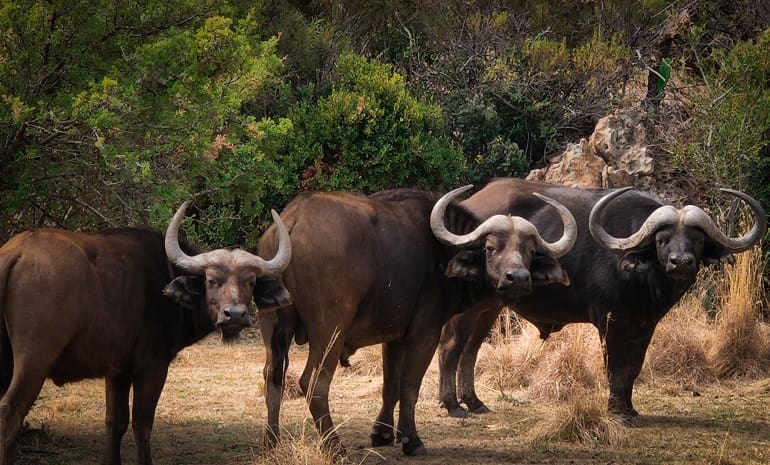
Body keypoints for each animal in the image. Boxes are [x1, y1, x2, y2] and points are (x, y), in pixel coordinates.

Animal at [0, 201, 291, 465]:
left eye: (250, 281)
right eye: (211, 280)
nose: (235, 315)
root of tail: (18, 252)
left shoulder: (117, 372)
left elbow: (115, 422)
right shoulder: (151, 368)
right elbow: (142, 424)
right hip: (35, 360)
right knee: (10, 411)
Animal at [257, 187, 576, 456]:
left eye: (529, 251)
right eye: (490, 247)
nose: (517, 278)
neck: (438, 253)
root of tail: (294, 219)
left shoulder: (394, 336)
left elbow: (390, 386)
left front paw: (383, 434)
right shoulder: (425, 333)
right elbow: (409, 387)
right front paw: (412, 441)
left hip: (271, 324)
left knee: (272, 377)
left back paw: (271, 444)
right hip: (329, 329)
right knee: (314, 383)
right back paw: (335, 447)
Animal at [437, 178, 766, 421]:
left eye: (697, 241)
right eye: (661, 240)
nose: (681, 262)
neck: (645, 281)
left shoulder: (645, 326)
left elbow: (634, 367)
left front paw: (631, 408)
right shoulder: (611, 321)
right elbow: (616, 366)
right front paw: (618, 412)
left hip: (489, 307)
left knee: (470, 349)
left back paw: (475, 402)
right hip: (468, 309)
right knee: (451, 347)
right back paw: (453, 405)